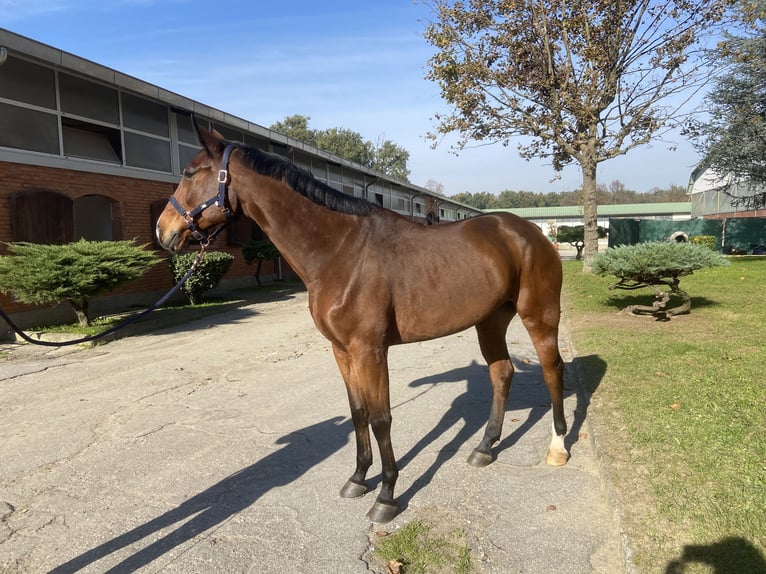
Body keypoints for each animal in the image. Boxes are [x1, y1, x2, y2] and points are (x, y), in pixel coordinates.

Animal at [156, 127, 568, 528]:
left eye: (189, 173)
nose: (163, 231)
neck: (342, 251)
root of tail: (531, 232)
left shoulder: (370, 350)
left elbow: (382, 418)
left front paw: (386, 496)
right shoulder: (341, 350)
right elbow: (358, 413)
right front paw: (357, 479)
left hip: (539, 315)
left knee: (552, 369)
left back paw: (558, 447)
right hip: (490, 321)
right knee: (502, 373)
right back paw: (484, 448)